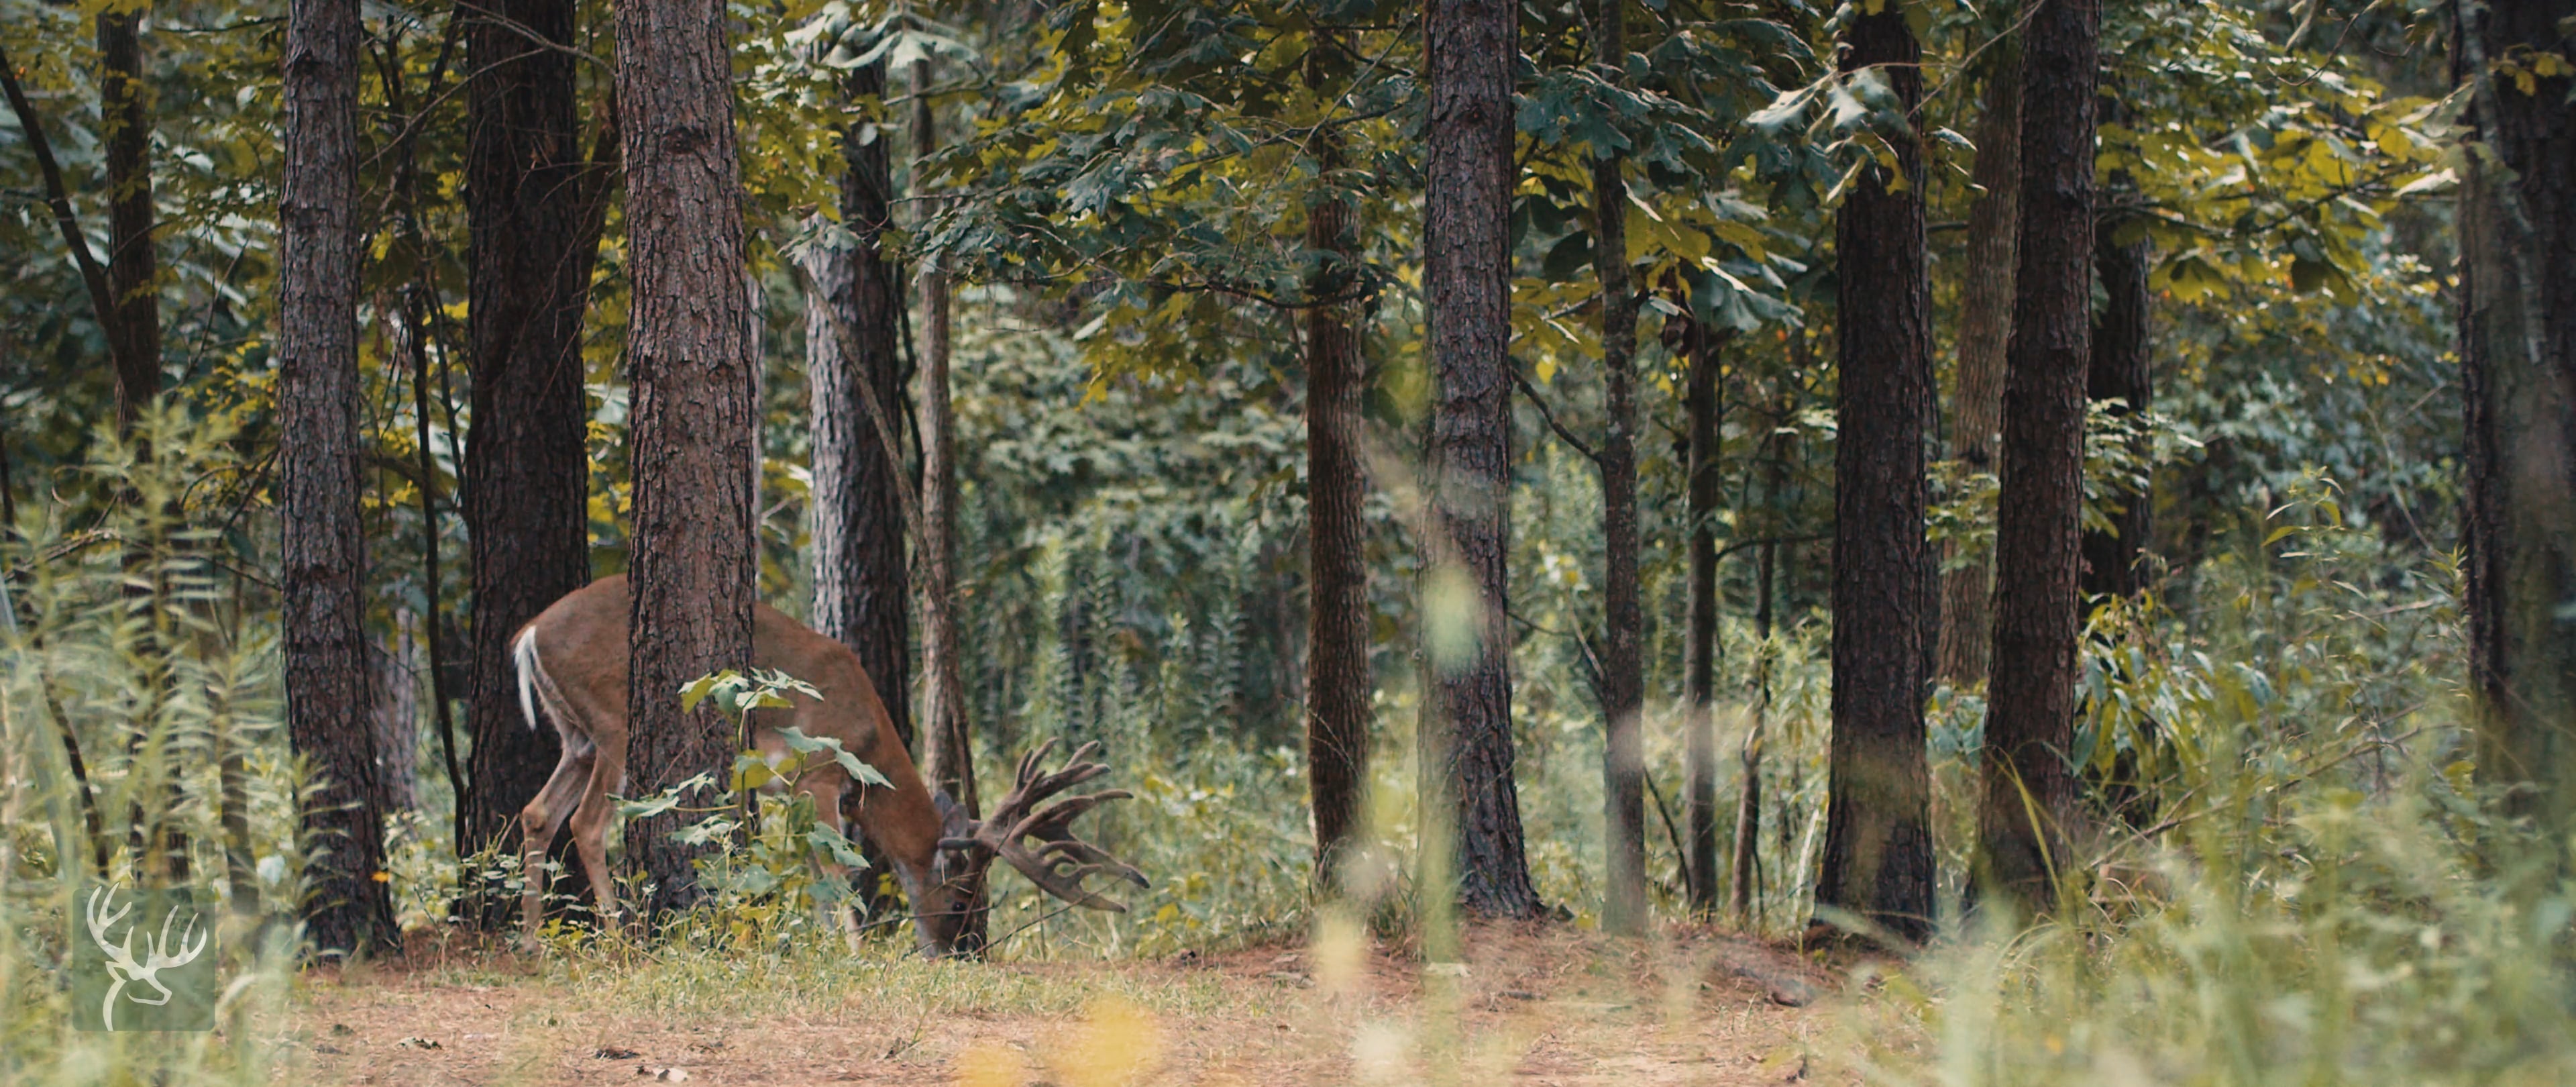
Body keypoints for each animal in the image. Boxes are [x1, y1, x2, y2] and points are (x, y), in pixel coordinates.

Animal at [507, 574, 1143, 953]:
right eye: (964, 900)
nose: (961, 951)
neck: (869, 739)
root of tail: (529, 635)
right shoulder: (816, 771)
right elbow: (838, 873)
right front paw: (855, 953)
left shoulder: (795, 790)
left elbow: (816, 873)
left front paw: (828, 945)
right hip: (613, 720)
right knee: (586, 823)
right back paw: (619, 942)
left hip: (576, 735)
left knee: (537, 813)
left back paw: (533, 942)